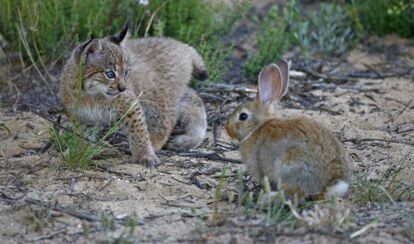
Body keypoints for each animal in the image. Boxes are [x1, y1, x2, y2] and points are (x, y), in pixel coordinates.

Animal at [226, 60, 350, 200]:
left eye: (243, 116)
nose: (227, 128)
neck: (258, 128)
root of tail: (333, 182)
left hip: (291, 165)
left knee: (294, 193)